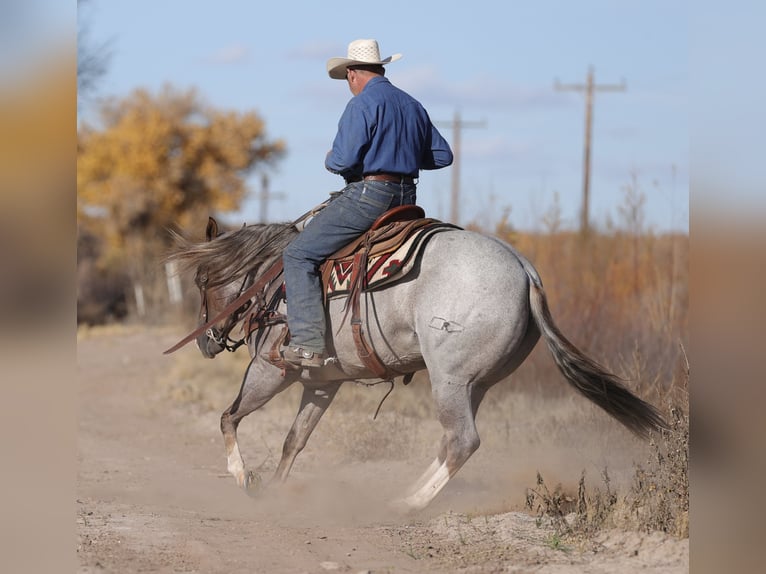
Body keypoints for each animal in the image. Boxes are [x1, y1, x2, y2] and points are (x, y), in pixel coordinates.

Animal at [167, 214, 667, 511]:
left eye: (202, 280)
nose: (206, 342)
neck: (275, 279)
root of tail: (524, 269)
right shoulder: (322, 382)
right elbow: (295, 440)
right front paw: (273, 490)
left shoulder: (273, 369)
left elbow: (229, 417)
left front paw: (242, 478)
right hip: (473, 385)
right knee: (450, 443)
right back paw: (405, 494)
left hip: (449, 381)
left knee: (462, 441)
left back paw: (405, 506)